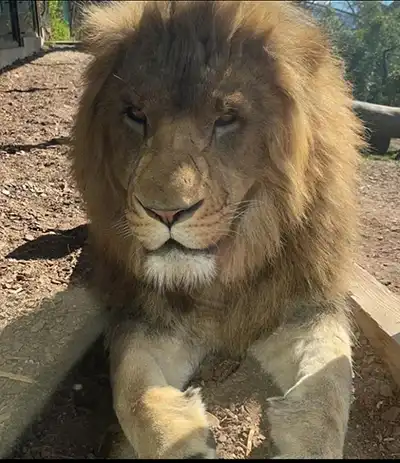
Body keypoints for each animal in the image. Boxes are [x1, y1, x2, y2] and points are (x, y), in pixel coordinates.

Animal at [69, 0, 366, 460]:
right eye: (135, 115)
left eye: (226, 118)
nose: (166, 212)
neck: (226, 272)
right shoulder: (145, 318)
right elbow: (133, 390)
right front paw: (187, 443)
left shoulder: (307, 307)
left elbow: (329, 391)